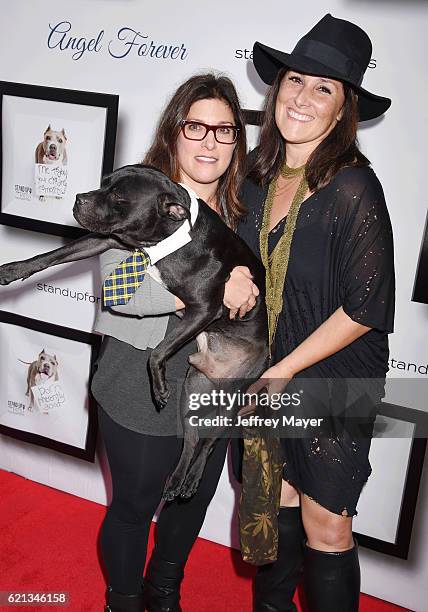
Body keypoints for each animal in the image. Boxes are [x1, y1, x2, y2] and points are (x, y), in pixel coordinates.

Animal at [0, 165, 268, 500]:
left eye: (118, 196)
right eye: (104, 184)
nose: (78, 198)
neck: (170, 238)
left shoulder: (205, 309)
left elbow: (157, 352)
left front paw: (158, 386)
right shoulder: (106, 240)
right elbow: (54, 255)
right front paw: (13, 270)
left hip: (236, 400)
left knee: (207, 443)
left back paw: (192, 478)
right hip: (192, 388)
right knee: (192, 438)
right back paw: (176, 479)